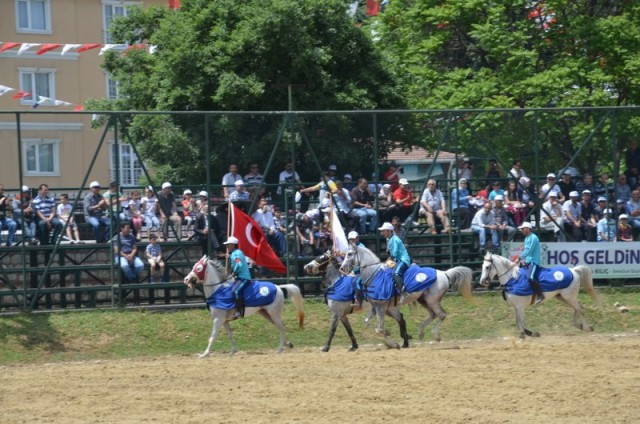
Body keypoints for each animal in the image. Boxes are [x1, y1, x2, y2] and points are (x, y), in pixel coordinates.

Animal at [340, 245, 476, 344]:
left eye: (350, 254)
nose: (342, 268)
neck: (374, 275)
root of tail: (444, 273)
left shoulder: (381, 307)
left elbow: (380, 329)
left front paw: (391, 343)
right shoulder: (375, 306)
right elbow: (368, 322)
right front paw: (389, 335)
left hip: (432, 301)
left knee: (441, 315)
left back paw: (435, 335)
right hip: (423, 300)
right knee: (433, 315)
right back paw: (421, 332)